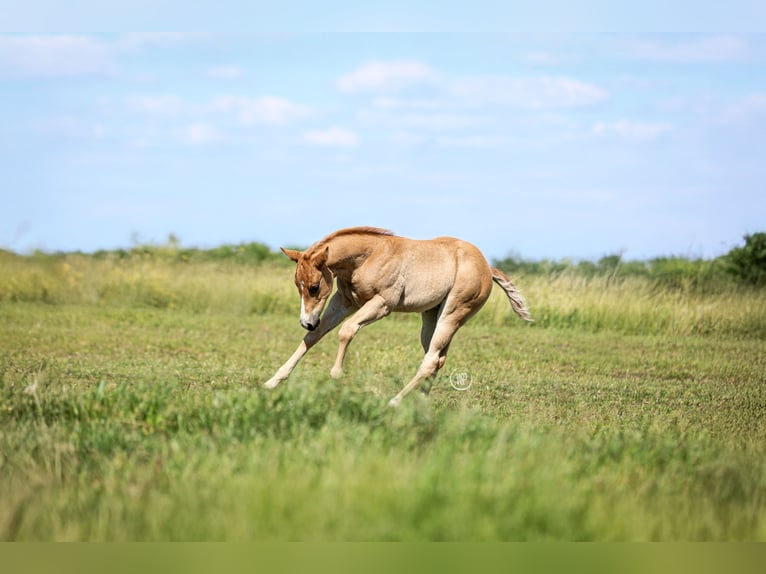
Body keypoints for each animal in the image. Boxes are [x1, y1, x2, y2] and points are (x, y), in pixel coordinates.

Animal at [263, 227, 532, 407]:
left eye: (314, 287)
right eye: (298, 285)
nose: (306, 322)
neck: (368, 256)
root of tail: (487, 267)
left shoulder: (383, 304)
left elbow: (346, 330)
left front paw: (336, 375)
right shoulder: (345, 301)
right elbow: (314, 337)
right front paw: (272, 381)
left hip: (453, 314)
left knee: (430, 360)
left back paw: (395, 401)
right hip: (431, 316)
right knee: (437, 359)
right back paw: (420, 402)